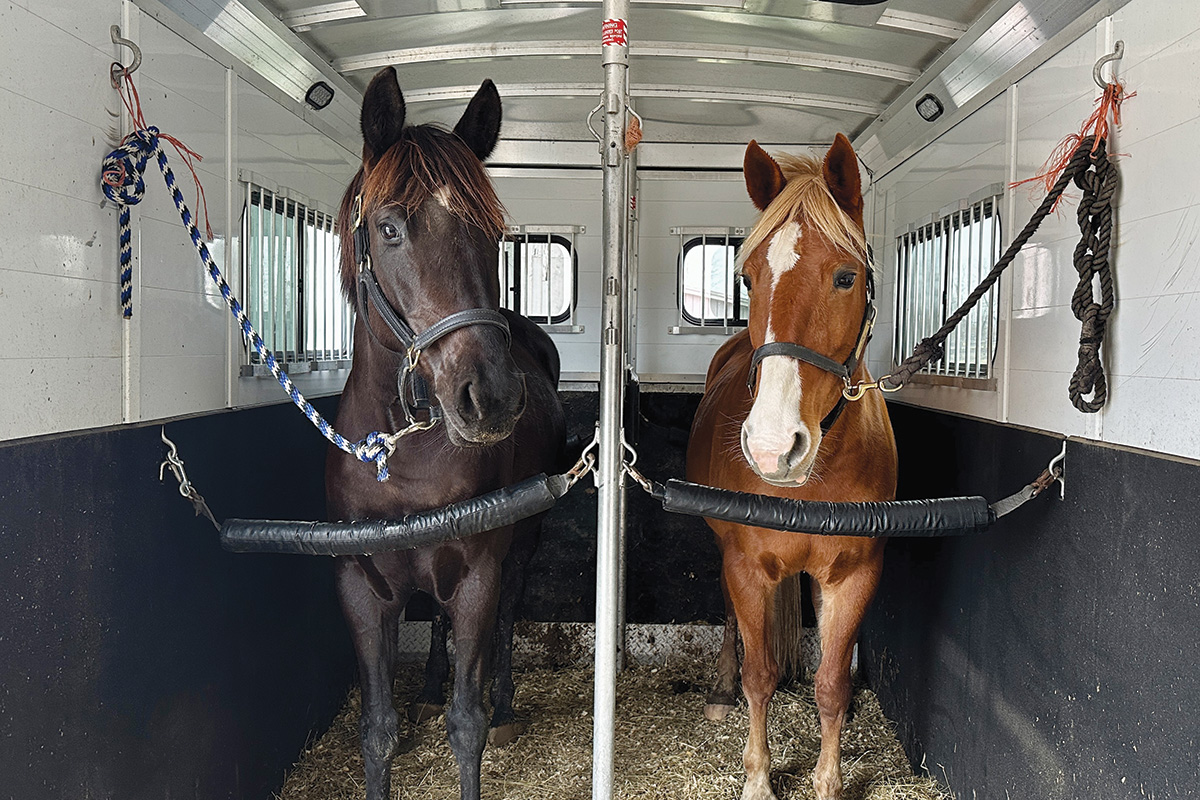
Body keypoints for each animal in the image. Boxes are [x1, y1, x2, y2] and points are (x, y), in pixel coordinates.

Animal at [326, 68, 564, 800]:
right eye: (389, 228)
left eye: (495, 234)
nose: (490, 397)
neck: (400, 457)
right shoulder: (361, 587)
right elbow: (377, 730)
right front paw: (417, 704)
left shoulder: (479, 574)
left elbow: (468, 724)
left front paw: (481, 708)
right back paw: (430, 685)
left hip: (522, 544)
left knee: (509, 618)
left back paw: (506, 701)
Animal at [686, 137, 902, 800]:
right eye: (747, 278)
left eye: (846, 277)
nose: (773, 447)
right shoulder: (747, 567)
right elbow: (759, 674)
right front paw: (758, 777)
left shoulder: (855, 573)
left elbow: (831, 683)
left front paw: (828, 781)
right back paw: (721, 688)